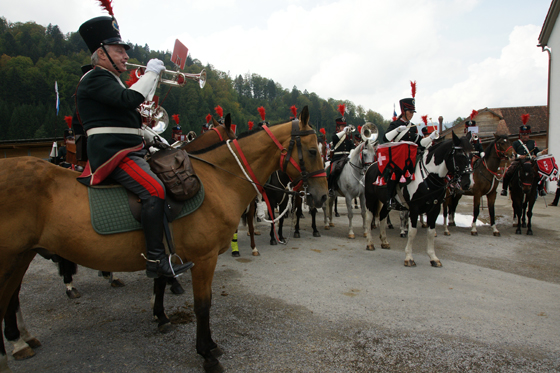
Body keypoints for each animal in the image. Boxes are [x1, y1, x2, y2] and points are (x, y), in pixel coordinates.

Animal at [0, 104, 328, 372]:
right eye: (313, 151)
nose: (322, 197)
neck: (217, 179)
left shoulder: (167, 252)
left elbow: (164, 284)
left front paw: (166, 320)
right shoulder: (203, 258)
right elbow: (202, 305)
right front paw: (207, 353)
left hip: (22, 255)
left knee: (12, 297)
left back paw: (21, 339)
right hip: (11, 258)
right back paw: (18, 340)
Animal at [364, 132, 472, 266]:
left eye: (472, 155)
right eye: (460, 155)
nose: (467, 183)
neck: (428, 177)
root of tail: (371, 166)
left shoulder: (434, 209)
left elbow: (430, 232)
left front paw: (433, 257)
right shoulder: (414, 209)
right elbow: (412, 232)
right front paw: (409, 257)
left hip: (386, 203)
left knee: (383, 216)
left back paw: (384, 241)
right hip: (370, 199)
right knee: (369, 218)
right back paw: (370, 243)